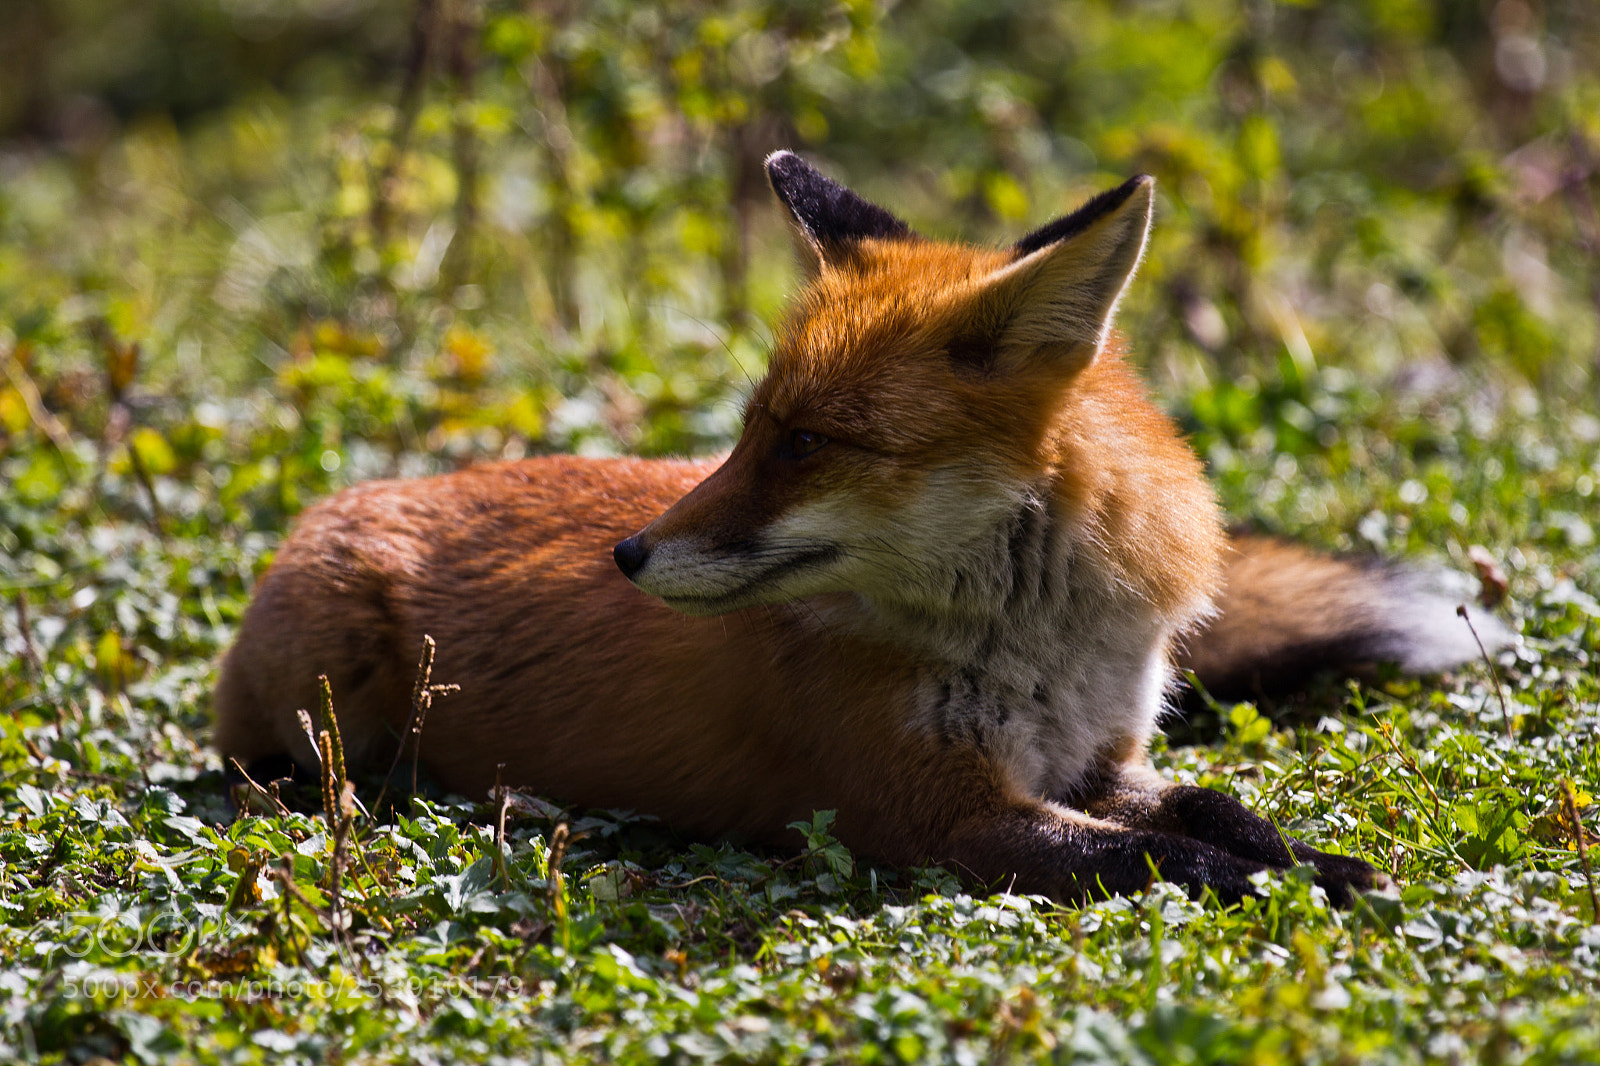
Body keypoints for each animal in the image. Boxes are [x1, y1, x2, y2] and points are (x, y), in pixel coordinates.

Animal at [215, 151, 1508, 905]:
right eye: (747, 432)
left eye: (805, 442)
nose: (627, 554)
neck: (1044, 648)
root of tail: (330, 504)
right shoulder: (927, 809)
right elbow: (1165, 855)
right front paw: (1315, 885)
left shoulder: (1104, 760)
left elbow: (1213, 812)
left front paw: (1317, 860)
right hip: (317, 717)